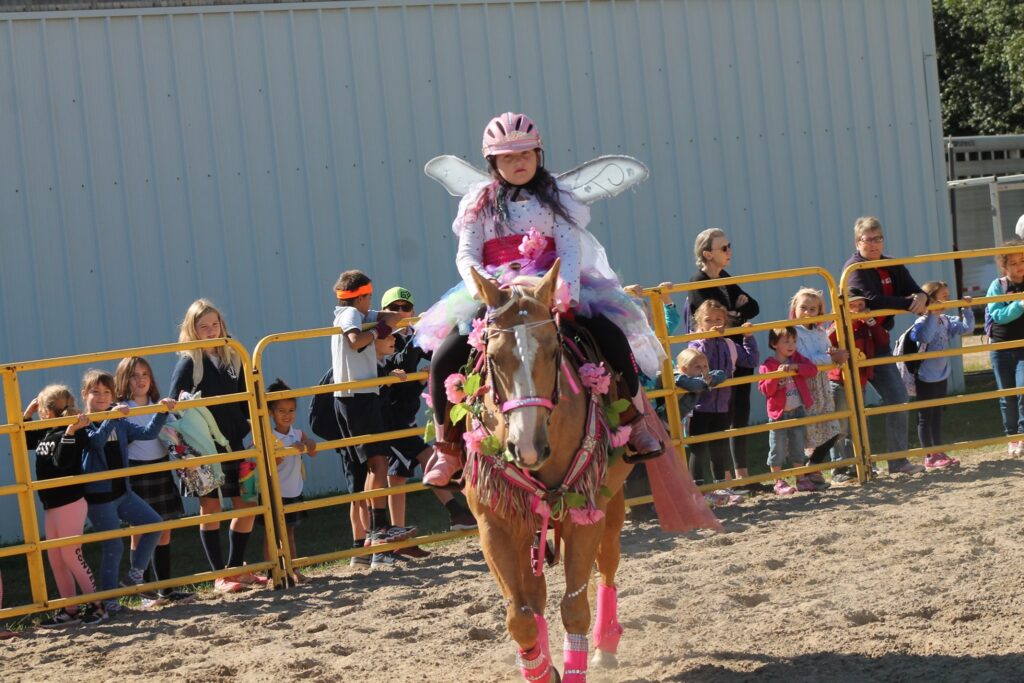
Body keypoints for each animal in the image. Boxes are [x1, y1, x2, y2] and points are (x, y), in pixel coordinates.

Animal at [462, 264, 630, 683]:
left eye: (554, 351)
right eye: (494, 357)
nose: (527, 447)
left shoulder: (584, 514)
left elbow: (574, 608)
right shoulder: (494, 525)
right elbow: (519, 617)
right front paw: (540, 670)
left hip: (611, 503)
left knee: (608, 564)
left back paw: (606, 644)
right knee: (533, 596)